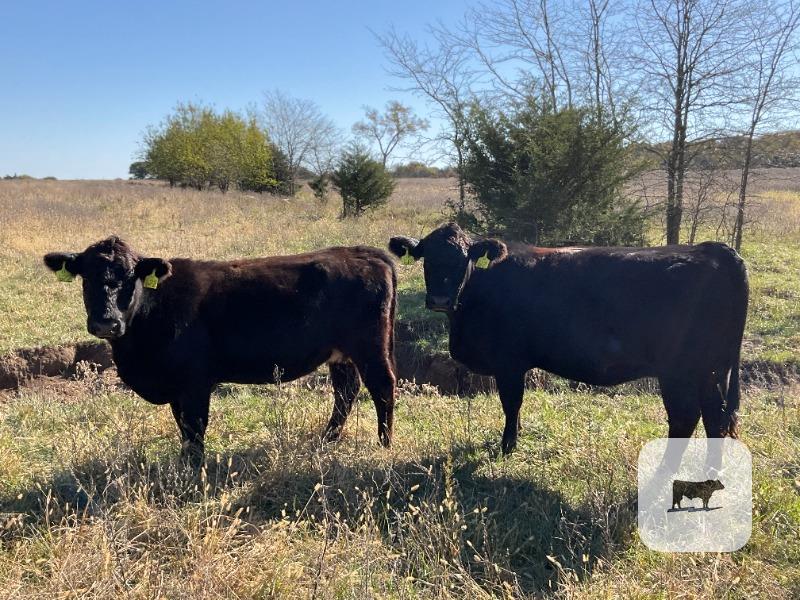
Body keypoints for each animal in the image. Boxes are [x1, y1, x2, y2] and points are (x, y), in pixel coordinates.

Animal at [44, 237, 397, 465]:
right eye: (85, 277)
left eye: (131, 277)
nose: (106, 322)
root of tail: (364, 252)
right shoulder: (177, 388)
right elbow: (183, 427)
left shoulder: (195, 382)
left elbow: (195, 427)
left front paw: (193, 470)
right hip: (341, 353)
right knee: (346, 392)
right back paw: (327, 440)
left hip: (368, 346)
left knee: (381, 387)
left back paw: (384, 443)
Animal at [389, 223, 748, 455]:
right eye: (427, 257)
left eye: (464, 257)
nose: (439, 299)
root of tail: (712, 249)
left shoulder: (509, 362)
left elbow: (511, 403)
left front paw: (507, 446)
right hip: (710, 371)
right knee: (716, 420)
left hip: (680, 371)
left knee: (686, 418)